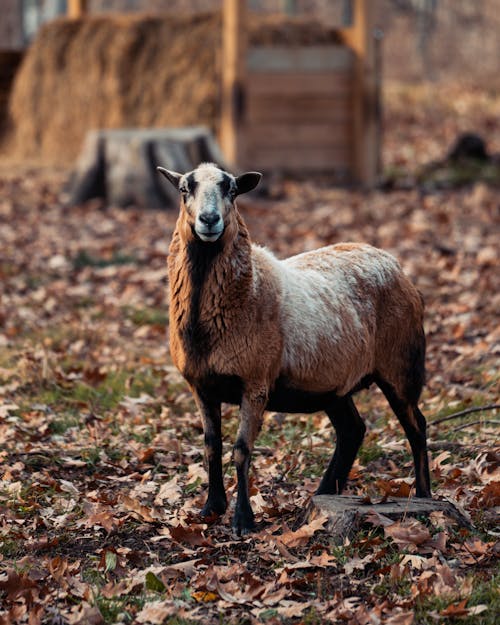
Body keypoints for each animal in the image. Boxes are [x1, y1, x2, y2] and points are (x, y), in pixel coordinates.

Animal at [158, 163, 432, 532]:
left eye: (232, 189)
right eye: (185, 188)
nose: (210, 219)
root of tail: (395, 264)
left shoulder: (255, 383)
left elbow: (241, 449)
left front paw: (243, 520)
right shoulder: (200, 385)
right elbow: (211, 446)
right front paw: (211, 508)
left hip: (401, 365)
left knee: (416, 426)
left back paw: (424, 496)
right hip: (334, 385)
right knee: (353, 430)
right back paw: (323, 493)